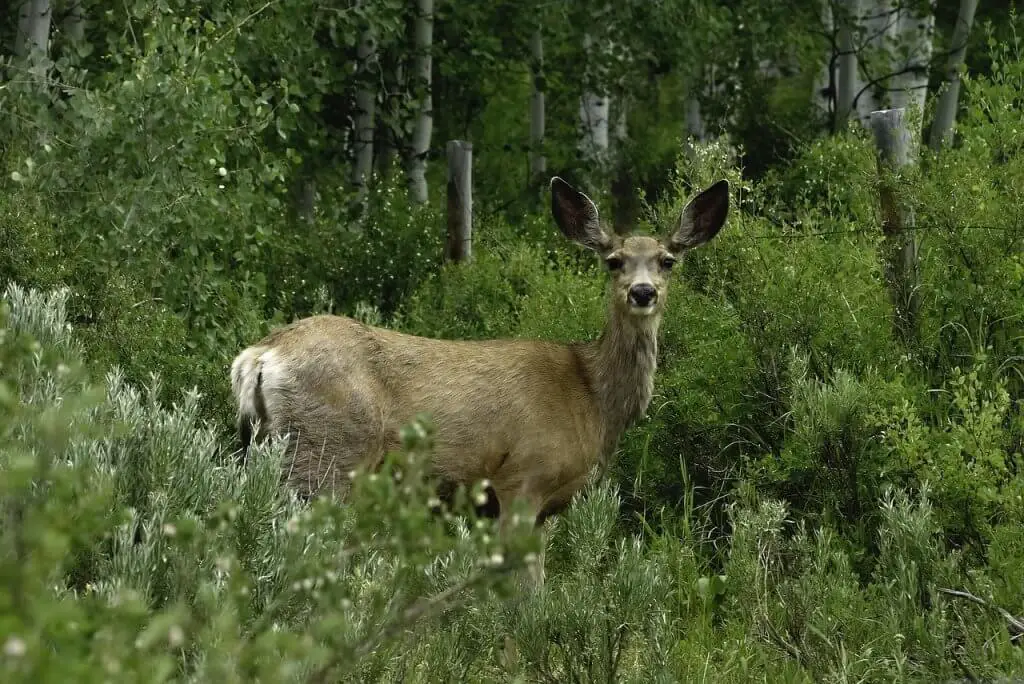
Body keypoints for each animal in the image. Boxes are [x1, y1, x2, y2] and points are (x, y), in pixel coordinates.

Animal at [232, 176, 729, 581]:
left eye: (667, 261)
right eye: (613, 260)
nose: (642, 292)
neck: (591, 396)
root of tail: (260, 356)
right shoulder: (522, 477)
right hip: (327, 453)